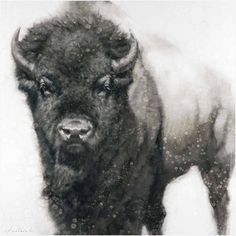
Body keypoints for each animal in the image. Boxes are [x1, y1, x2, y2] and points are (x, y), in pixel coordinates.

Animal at [10, 0, 234, 235]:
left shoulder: (131, 194)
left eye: (105, 85)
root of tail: (223, 89)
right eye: (45, 86)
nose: (75, 131)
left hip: (217, 165)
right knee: (158, 215)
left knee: (218, 203)